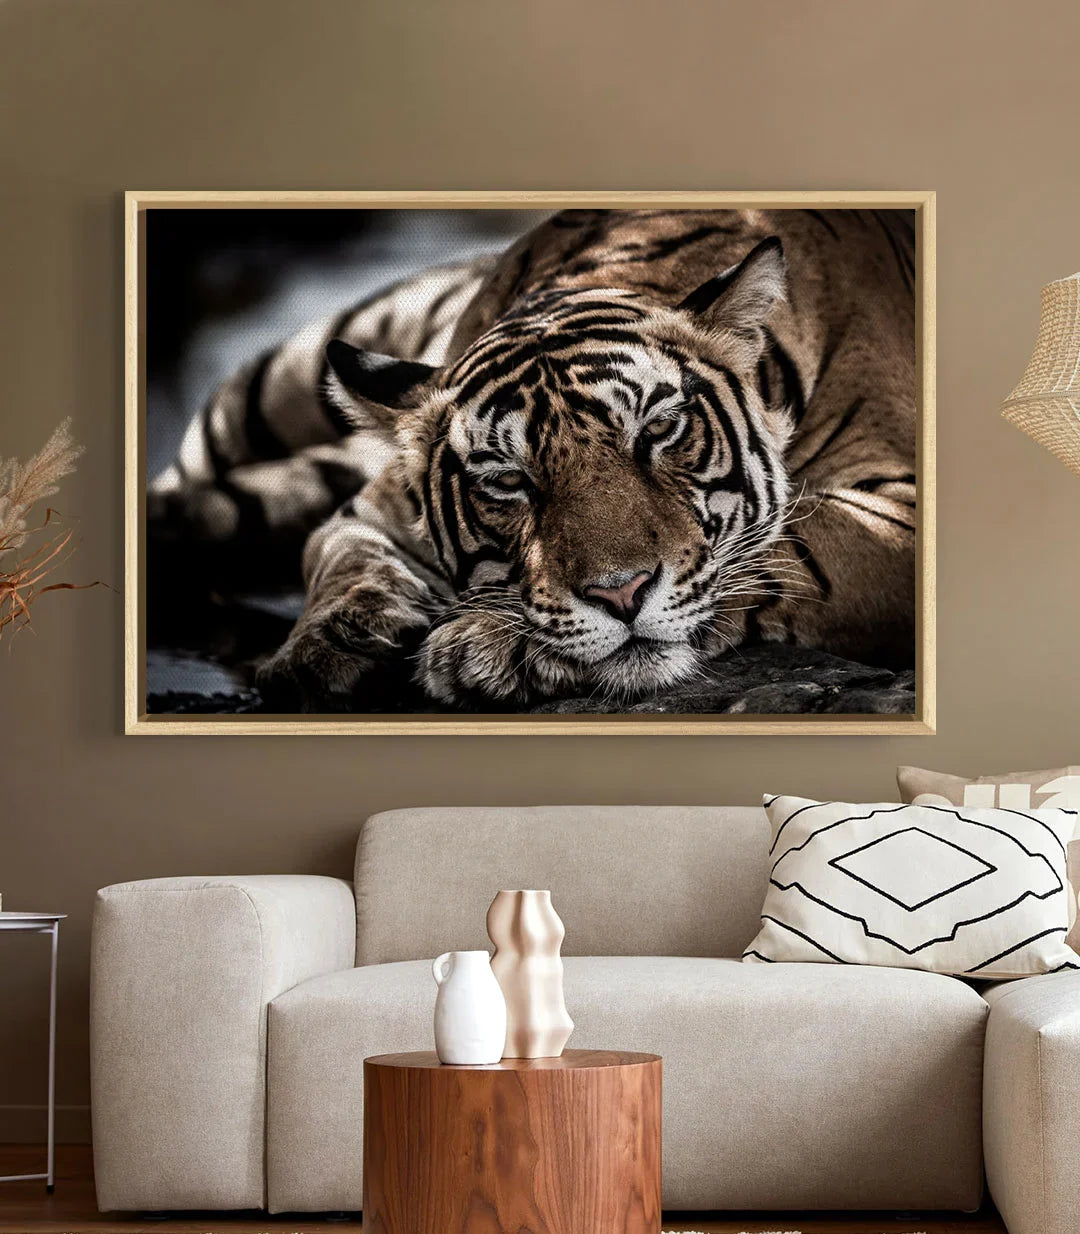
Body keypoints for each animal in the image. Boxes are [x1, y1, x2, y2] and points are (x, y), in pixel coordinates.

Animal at [149, 209, 918, 713]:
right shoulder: (369, 508)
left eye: (660, 429)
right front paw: (327, 645)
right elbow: (340, 557)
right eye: (507, 480)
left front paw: (491, 645)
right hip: (280, 380)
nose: (621, 595)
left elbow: (791, 548)